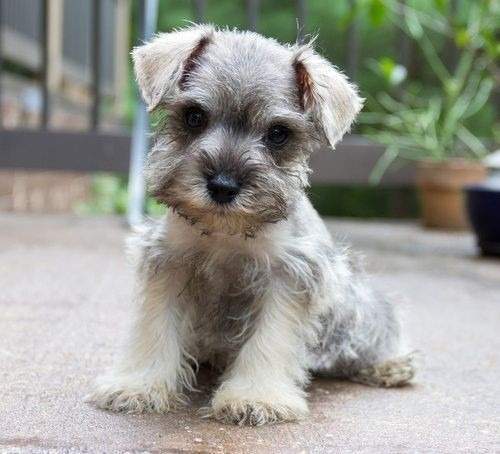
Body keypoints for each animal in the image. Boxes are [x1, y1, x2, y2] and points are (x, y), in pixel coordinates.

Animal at [86, 24, 414, 426]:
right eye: (194, 116)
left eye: (278, 133)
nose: (223, 186)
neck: (225, 234)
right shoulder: (168, 263)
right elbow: (155, 326)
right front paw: (139, 385)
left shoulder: (289, 276)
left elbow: (270, 338)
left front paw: (255, 396)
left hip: (357, 309)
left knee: (375, 332)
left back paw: (390, 365)